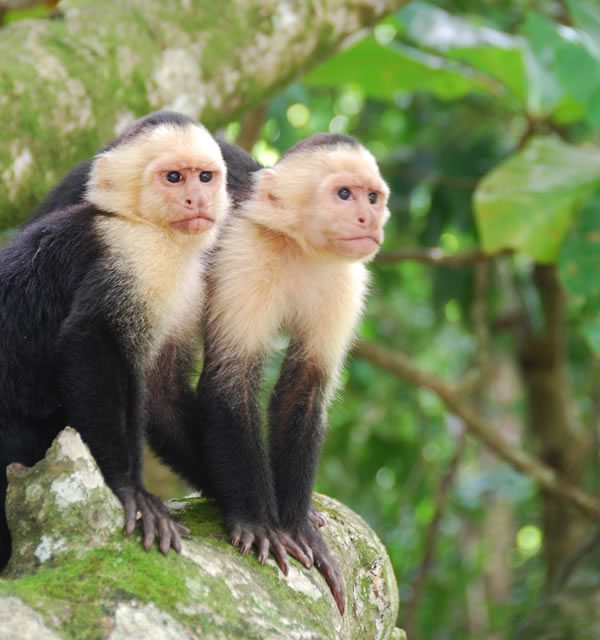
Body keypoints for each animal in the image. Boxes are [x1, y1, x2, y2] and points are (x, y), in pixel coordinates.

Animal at [0, 113, 230, 568]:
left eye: (205, 177)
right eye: (173, 177)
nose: (197, 199)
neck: (141, 224)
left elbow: (162, 393)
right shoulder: (135, 255)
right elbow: (90, 341)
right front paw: (128, 489)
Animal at [197, 133, 391, 614]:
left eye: (372, 197)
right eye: (344, 194)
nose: (367, 217)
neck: (301, 247)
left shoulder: (346, 282)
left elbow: (303, 388)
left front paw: (298, 524)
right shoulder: (245, 253)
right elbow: (230, 379)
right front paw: (257, 522)